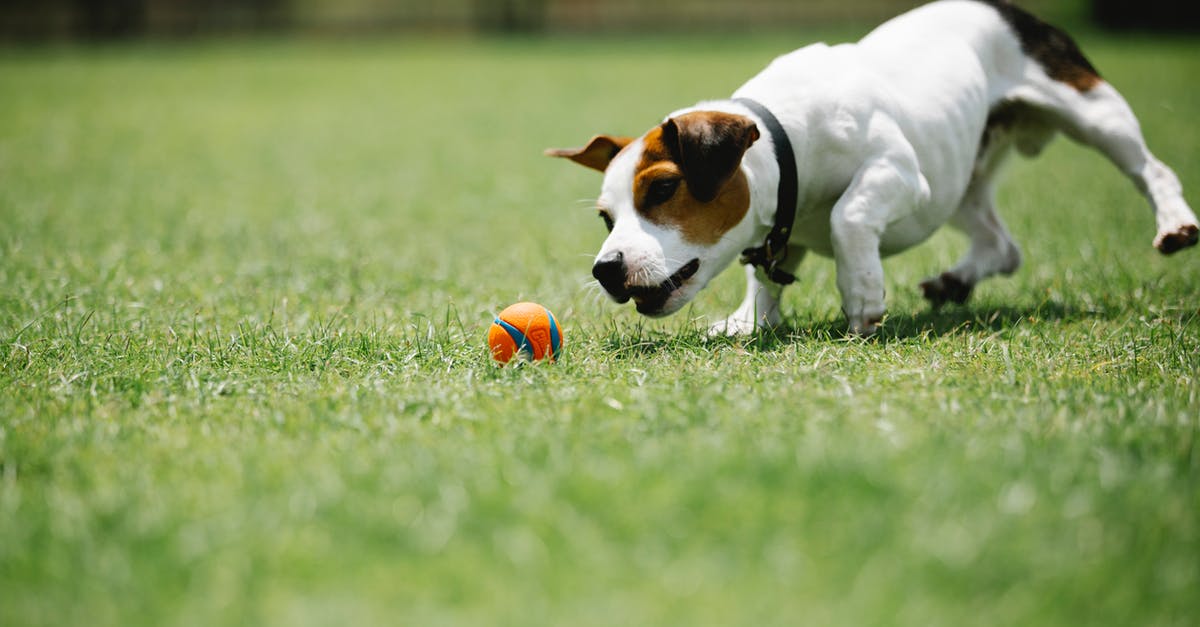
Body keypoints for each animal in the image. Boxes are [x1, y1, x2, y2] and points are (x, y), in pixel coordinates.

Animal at [549, 0, 1195, 333]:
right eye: (606, 218)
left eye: (662, 190)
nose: (605, 270)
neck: (786, 140)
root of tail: (1006, 8)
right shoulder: (781, 228)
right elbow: (765, 271)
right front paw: (751, 320)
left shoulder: (899, 174)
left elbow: (848, 216)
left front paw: (861, 294)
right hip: (957, 181)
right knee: (1001, 244)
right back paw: (957, 280)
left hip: (1092, 112)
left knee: (1151, 170)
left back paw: (1174, 224)